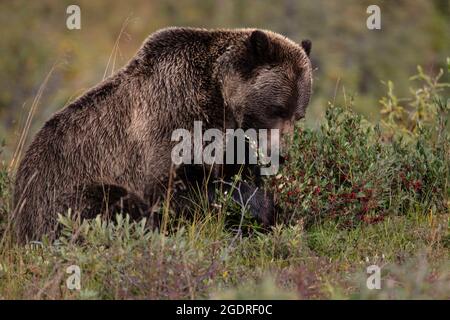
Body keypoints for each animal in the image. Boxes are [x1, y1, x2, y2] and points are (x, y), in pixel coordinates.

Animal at [11, 27, 312, 242]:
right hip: (60, 192)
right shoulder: (170, 121)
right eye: (276, 108)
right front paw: (260, 207)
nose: (281, 155)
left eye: (298, 115)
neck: (220, 101)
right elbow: (171, 189)